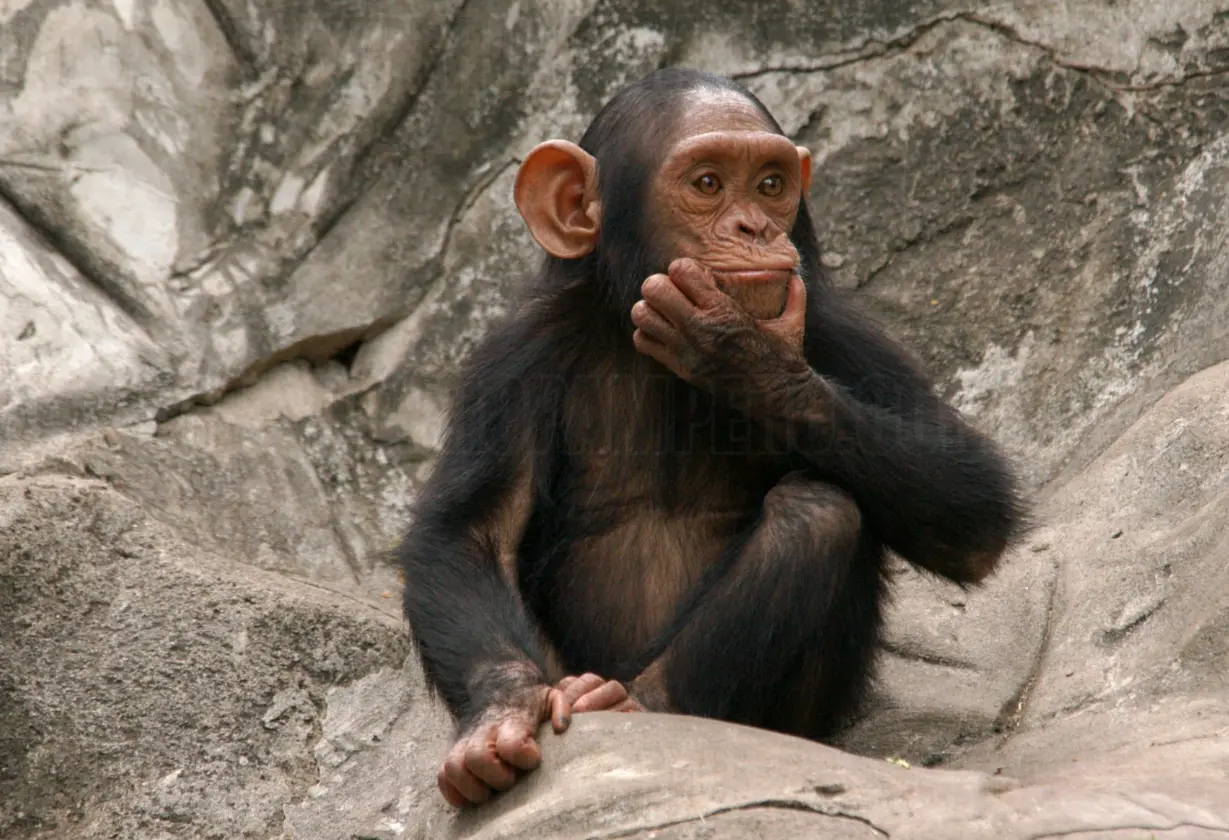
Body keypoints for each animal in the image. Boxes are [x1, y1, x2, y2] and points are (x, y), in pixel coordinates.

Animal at [397, 67, 1028, 808]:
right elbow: (471, 531)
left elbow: (972, 502)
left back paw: (641, 700)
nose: (753, 225)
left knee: (818, 511)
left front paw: (740, 351)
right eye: (707, 183)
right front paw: (498, 717)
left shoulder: (842, 331)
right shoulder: (514, 356)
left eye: (770, 184)